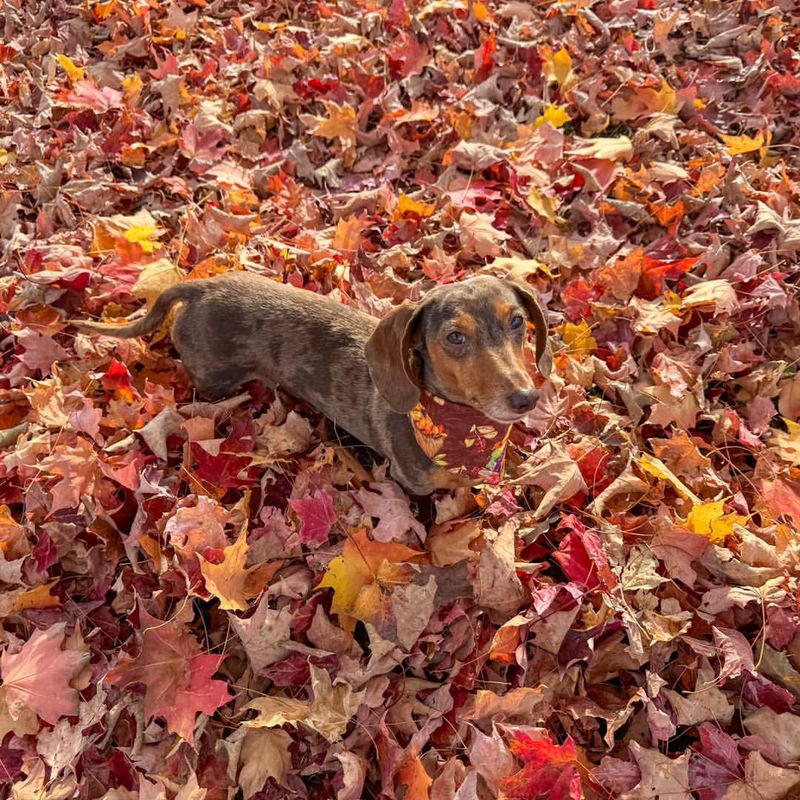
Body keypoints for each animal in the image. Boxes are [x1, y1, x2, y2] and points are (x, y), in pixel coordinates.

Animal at [76, 274, 552, 494]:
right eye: (455, 337)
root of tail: (201, 287)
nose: (526, 398)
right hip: (214, 382)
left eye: (517, 322)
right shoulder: (410, 481)